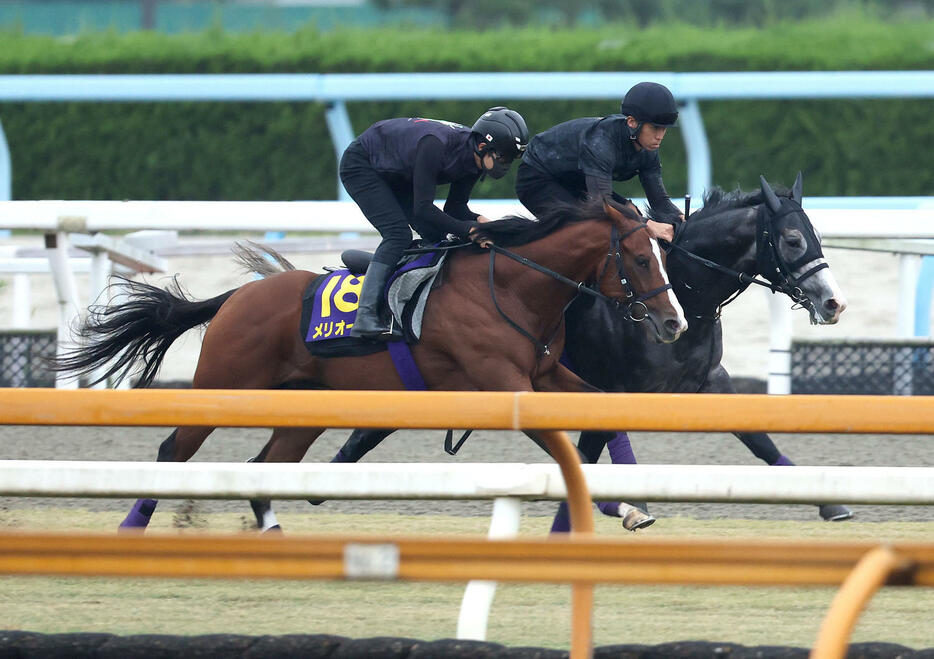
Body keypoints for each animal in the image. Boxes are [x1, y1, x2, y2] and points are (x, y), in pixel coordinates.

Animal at [53, 196, 688, 532]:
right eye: (639, 257)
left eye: (663, 253)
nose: (674, 323)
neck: (511, 285)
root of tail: (236, 298)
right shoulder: (506, 385)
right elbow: (563, 443)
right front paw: (609, 504)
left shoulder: (545, 374)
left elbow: (602, 413)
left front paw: (626, 504)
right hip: (222, 387)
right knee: (172, 451)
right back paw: (131, 526)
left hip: (305, 406)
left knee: (266, 463)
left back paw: (272, 531)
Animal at [256, 174, 856, 532]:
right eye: (794, 240)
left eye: (816, 235)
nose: (833, 302)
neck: (683, 293)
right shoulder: (614, 385)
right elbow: (600, 446)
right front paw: (620, 508)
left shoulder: (711, 381)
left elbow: (757, 438)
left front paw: (829, 501)